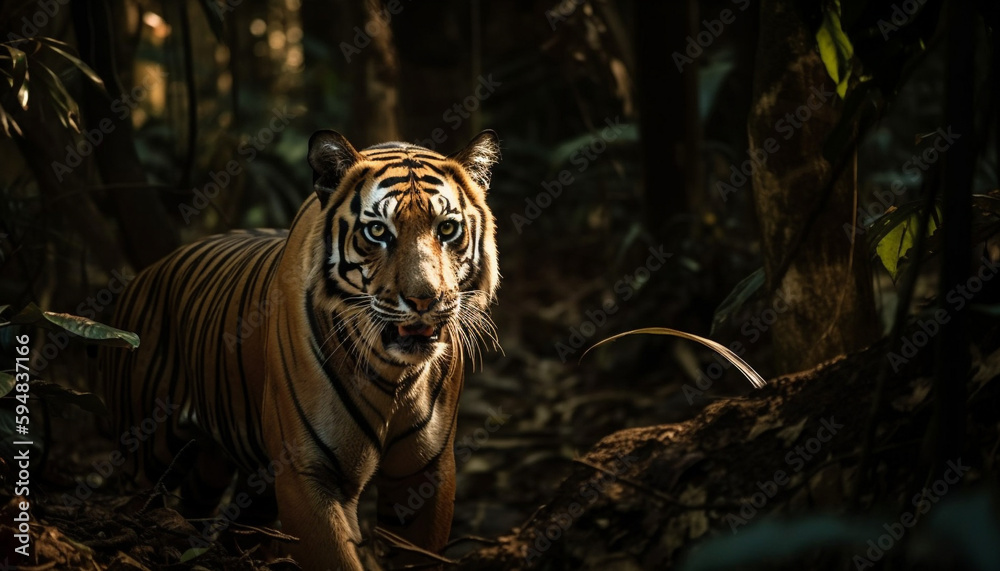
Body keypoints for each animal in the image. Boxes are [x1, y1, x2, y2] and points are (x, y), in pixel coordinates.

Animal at [99, 129, 501, 570]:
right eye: (378, 232)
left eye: (446, 229)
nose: (424, 299)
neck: (394, 373)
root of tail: (142, 275)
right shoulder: (307, 471)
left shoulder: (425, 472)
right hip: (146, 450)